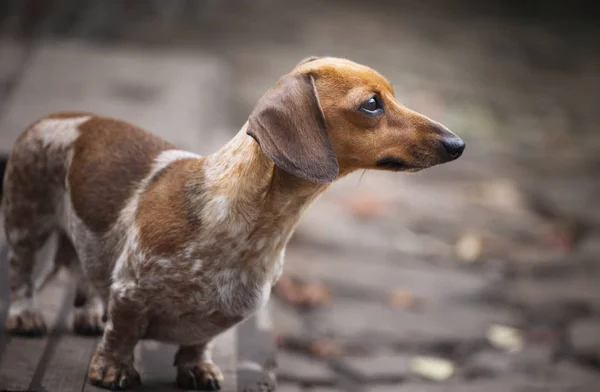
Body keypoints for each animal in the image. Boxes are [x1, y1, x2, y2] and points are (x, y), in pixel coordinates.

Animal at [2, 56, 464, 390]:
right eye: (371, 103)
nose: (458, 144)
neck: (250, 226)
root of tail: (57, 115)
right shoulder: (131, 290)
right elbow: (122, 333)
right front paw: (112, 370)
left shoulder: (222, 312)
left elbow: (198, 342)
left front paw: (197, 369)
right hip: (26, 221)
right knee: (23, 275)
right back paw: (26, 315)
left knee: (85, 272)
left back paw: (88, 313)